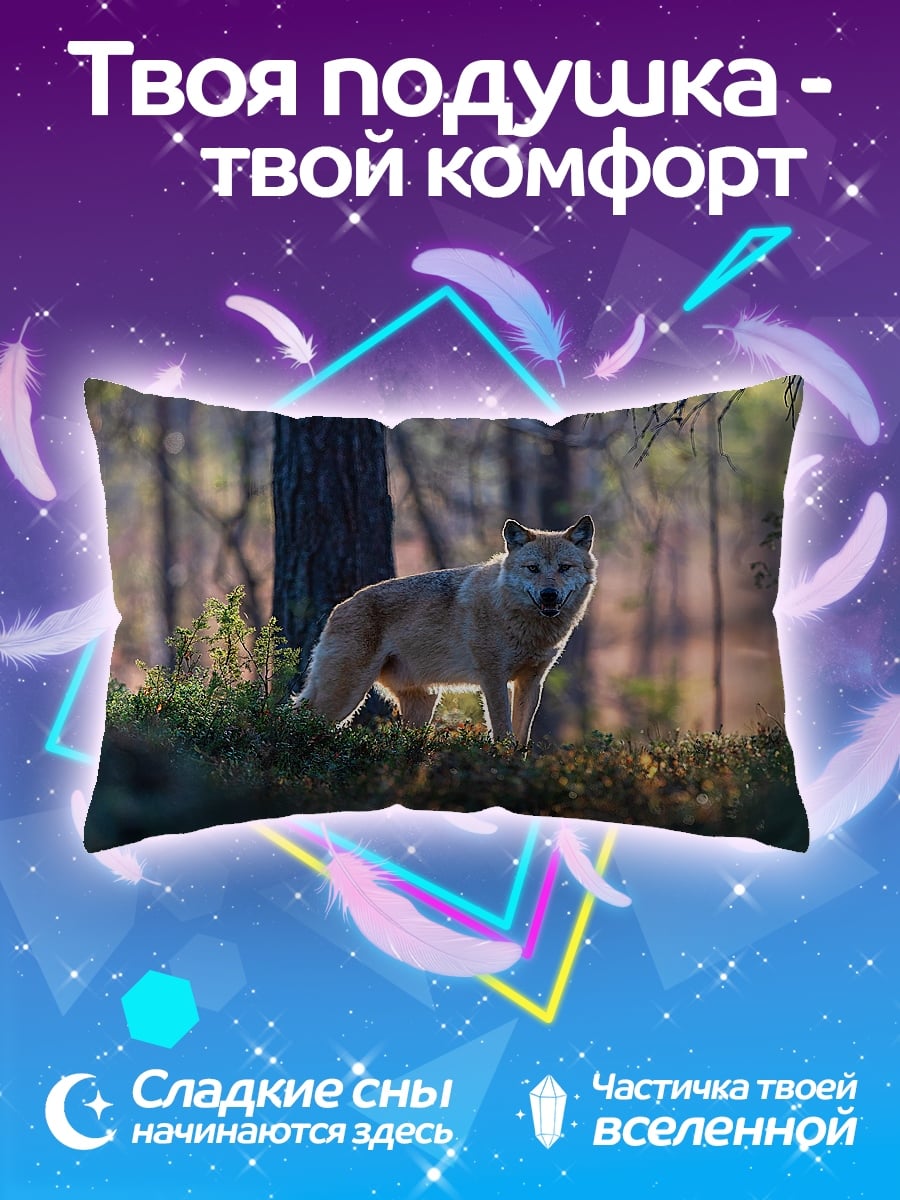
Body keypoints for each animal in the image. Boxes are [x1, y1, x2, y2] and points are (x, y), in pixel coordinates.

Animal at [299, 515, 596, 743]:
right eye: (533, 568)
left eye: (564, 568)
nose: (549, 595)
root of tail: (338, 608)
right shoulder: (492, 679)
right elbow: (503, 733)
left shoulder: (531, 681)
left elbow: (522, 738)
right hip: (344, 698)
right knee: (298, 717)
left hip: (422, 703)